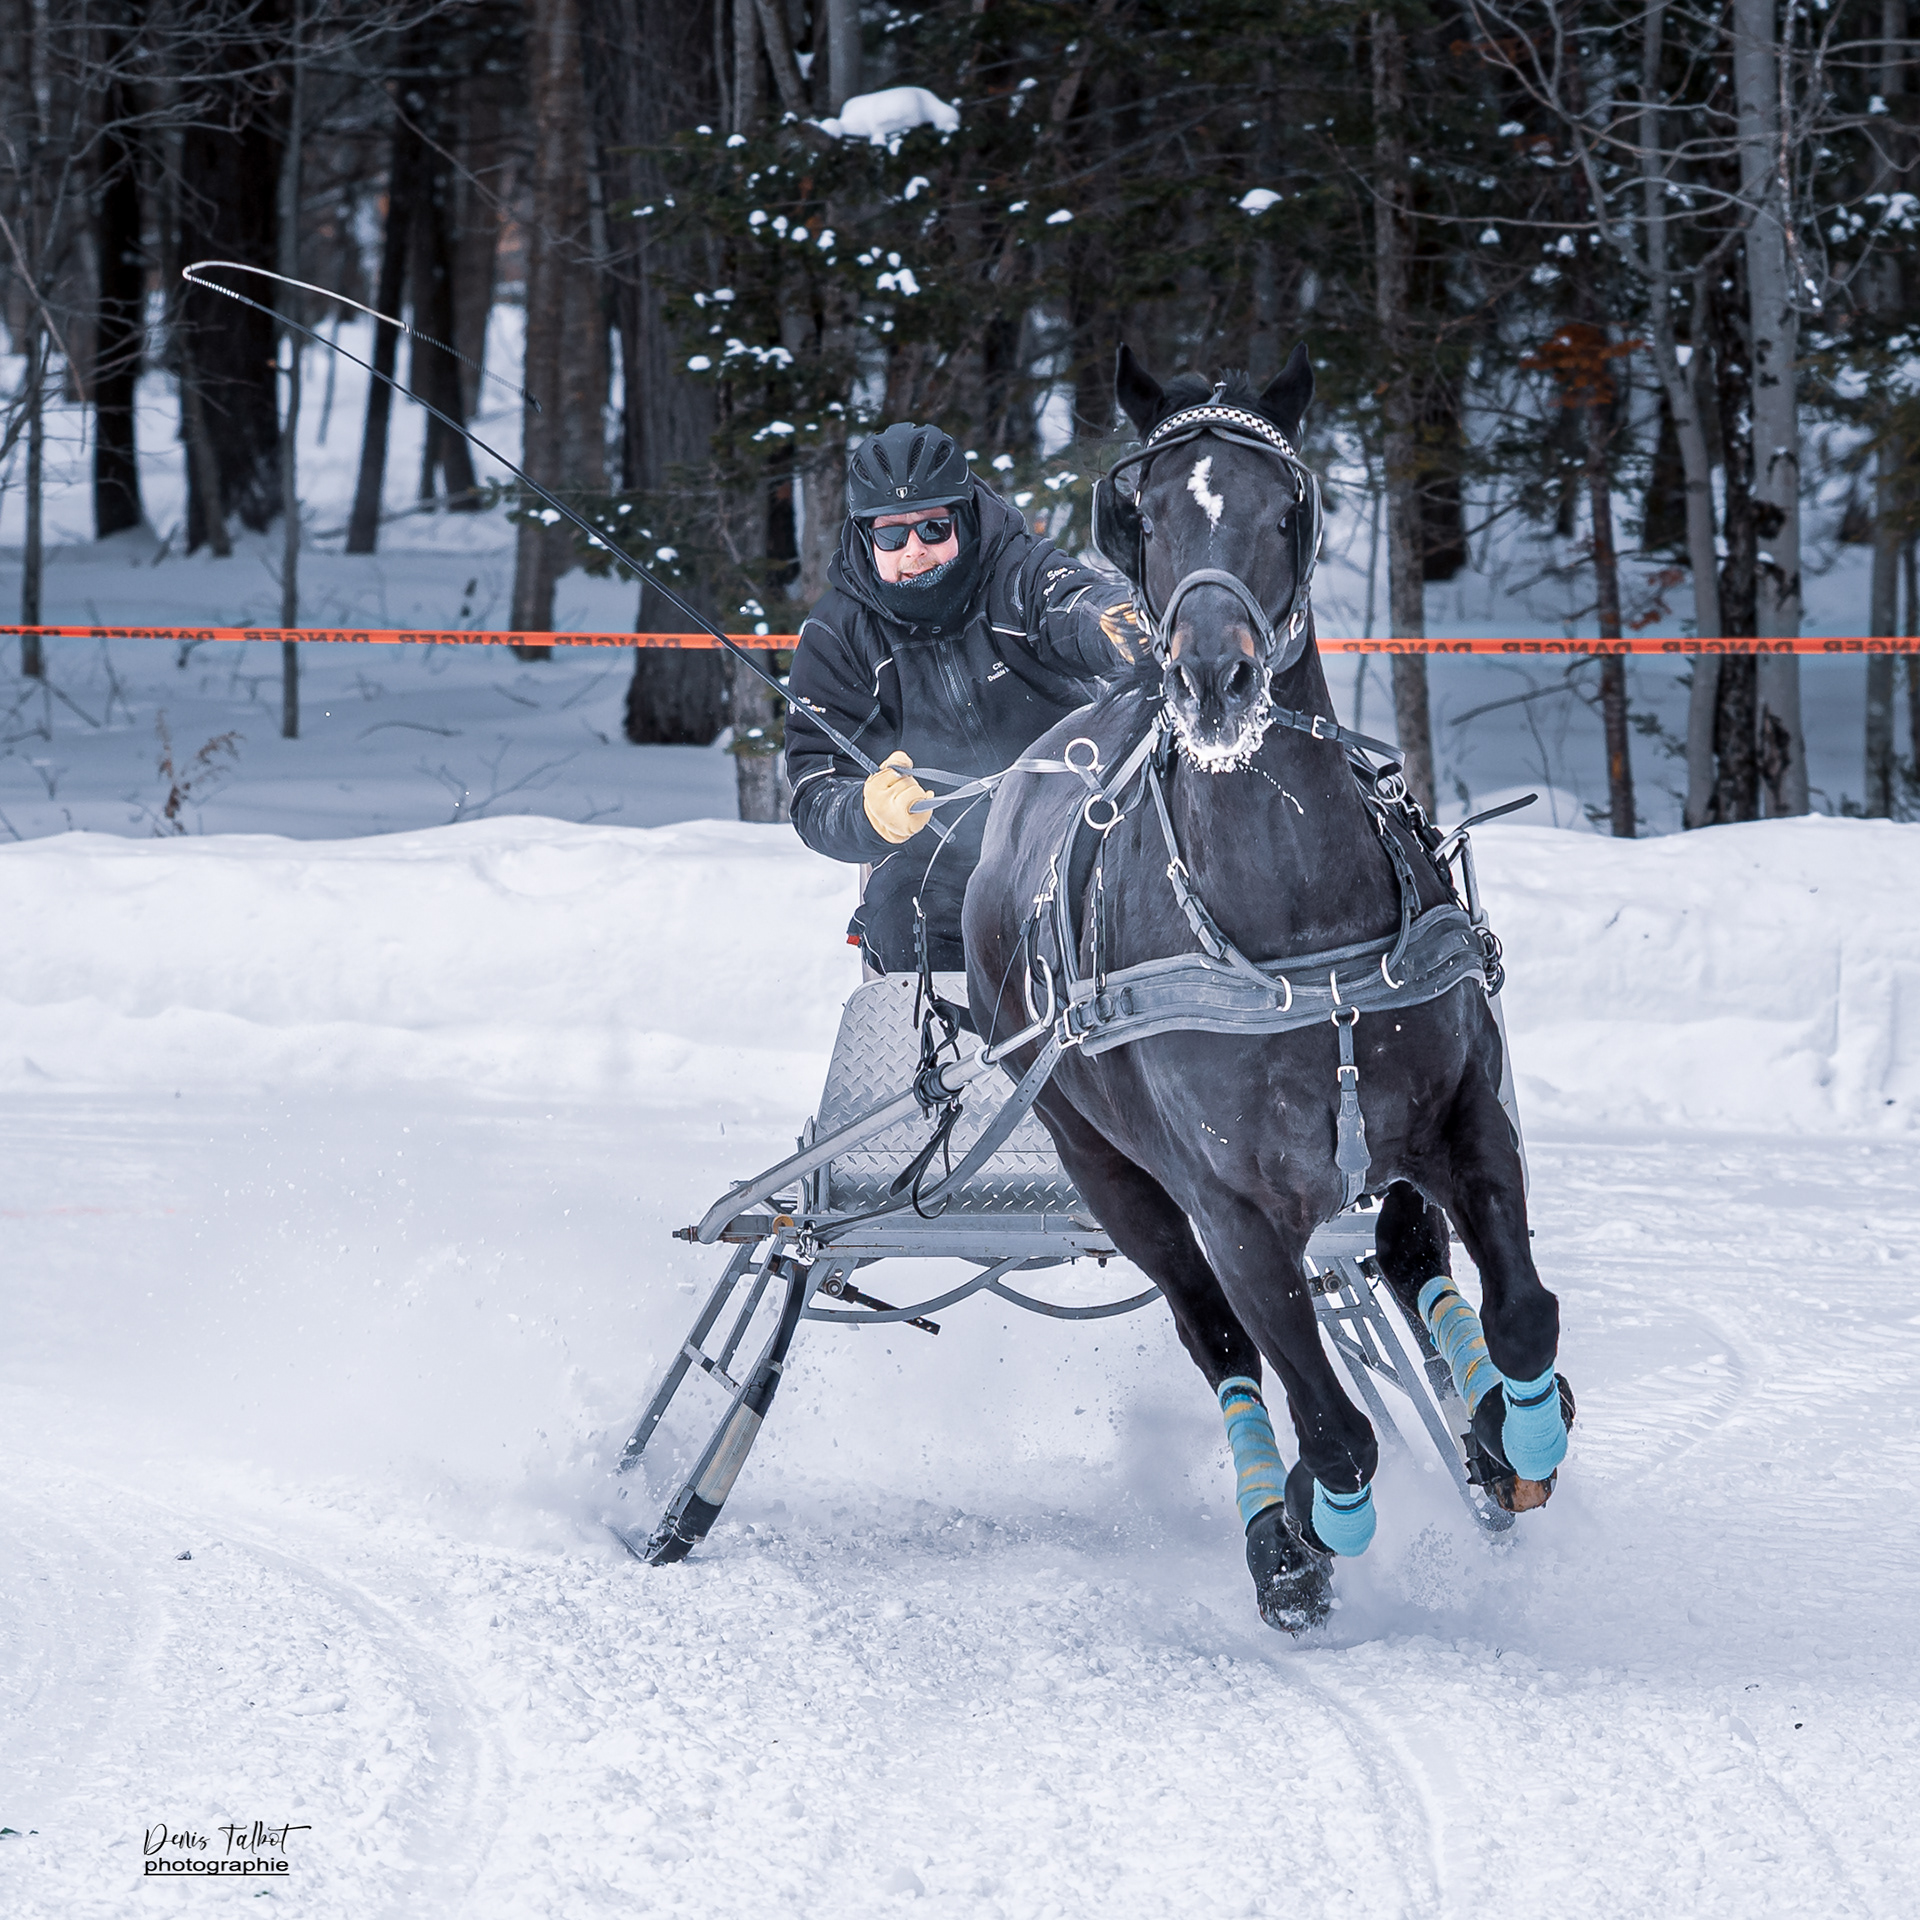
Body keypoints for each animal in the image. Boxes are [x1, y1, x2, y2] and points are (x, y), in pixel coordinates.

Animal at [962, 344, 1572, 1631]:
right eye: (1139, 510)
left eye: (1289, 507)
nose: (1213, 678)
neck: (1296, 922)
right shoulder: (1230, 1207)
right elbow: (1329, 1423)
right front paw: (1302, 1524)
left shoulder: (1466, 1113)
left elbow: (1521, 1312)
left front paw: (1519, 1432)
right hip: (1103, 1168)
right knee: (1221, 1342)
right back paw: (1275, 1519)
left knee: (1404, 1251)